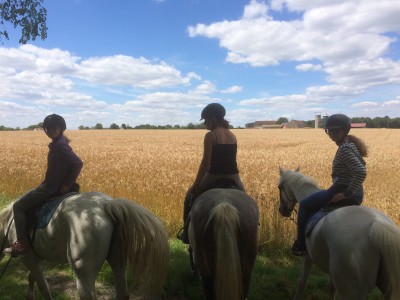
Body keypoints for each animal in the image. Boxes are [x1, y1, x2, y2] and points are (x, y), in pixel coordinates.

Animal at [0, 193, 169, 298]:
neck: (8, 221)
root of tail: (106, 205)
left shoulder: (29, 258)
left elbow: (44, 288)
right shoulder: (38, 258)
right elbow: (31, 278)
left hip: (82, 269)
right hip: (118, 260)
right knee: (123, 293)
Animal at [280, 168, 400, 298]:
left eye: (279, 187)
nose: (282, 211)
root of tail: (377, 225)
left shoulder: (307, 256)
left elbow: (302, 282)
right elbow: (330, 288)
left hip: (350, 289)